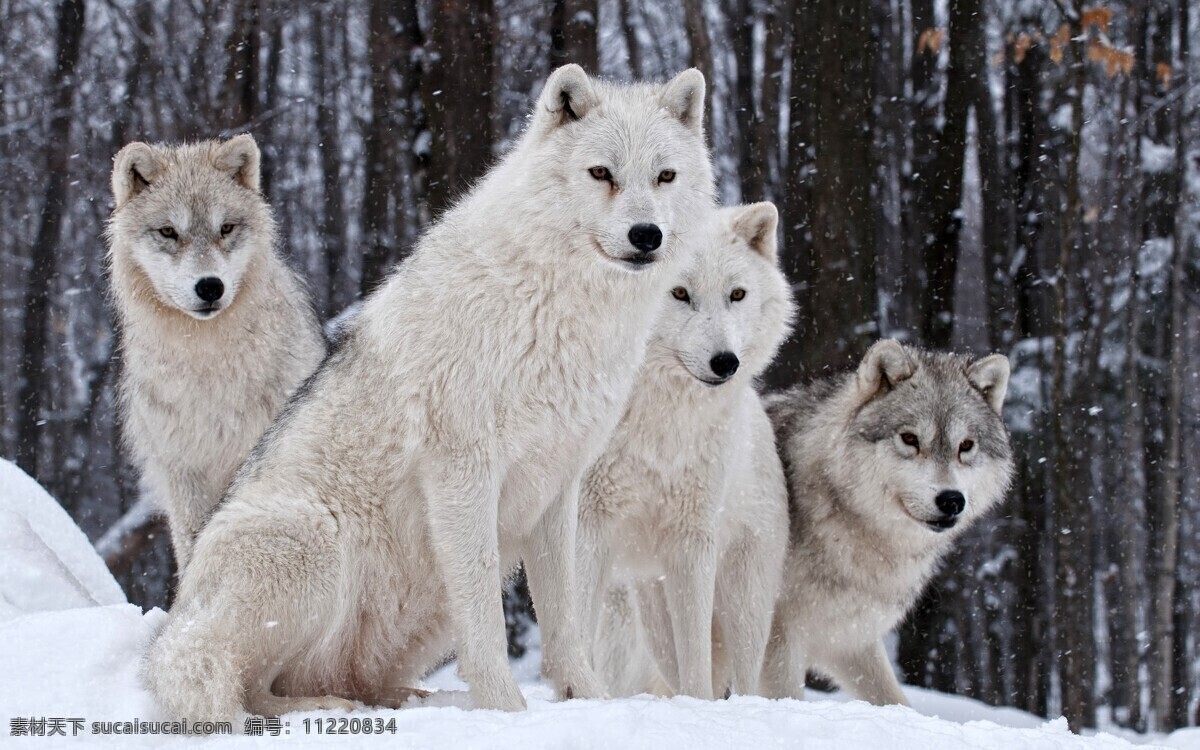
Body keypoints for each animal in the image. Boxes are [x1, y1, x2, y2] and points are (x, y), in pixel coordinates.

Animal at [145, 65, 715, 720]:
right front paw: (507, 711)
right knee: (250, 689)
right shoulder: (463, 473)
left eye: (664, 176)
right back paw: (335, 709)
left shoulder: (558, 485)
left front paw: (587, 700)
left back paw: (410, 702)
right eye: (602, 173)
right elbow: (486, 623)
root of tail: (171, 632)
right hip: (313, 542)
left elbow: (566, 620)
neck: (557, 308)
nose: (647, 235)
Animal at [580, 201, 796, 700]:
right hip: (651, 612)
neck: (657, 422)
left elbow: (696, 660)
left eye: (737, 294)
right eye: (678, 292)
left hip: (743, 602)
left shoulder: (693, 540)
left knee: (743, 677)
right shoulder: (586, 526)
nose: (726, 363)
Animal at [758, 343, 1012, 705]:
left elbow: (896, 701)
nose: (951, 500)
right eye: (909, 438)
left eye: (965, 446)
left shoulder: (849, 640)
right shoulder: (777, 638)